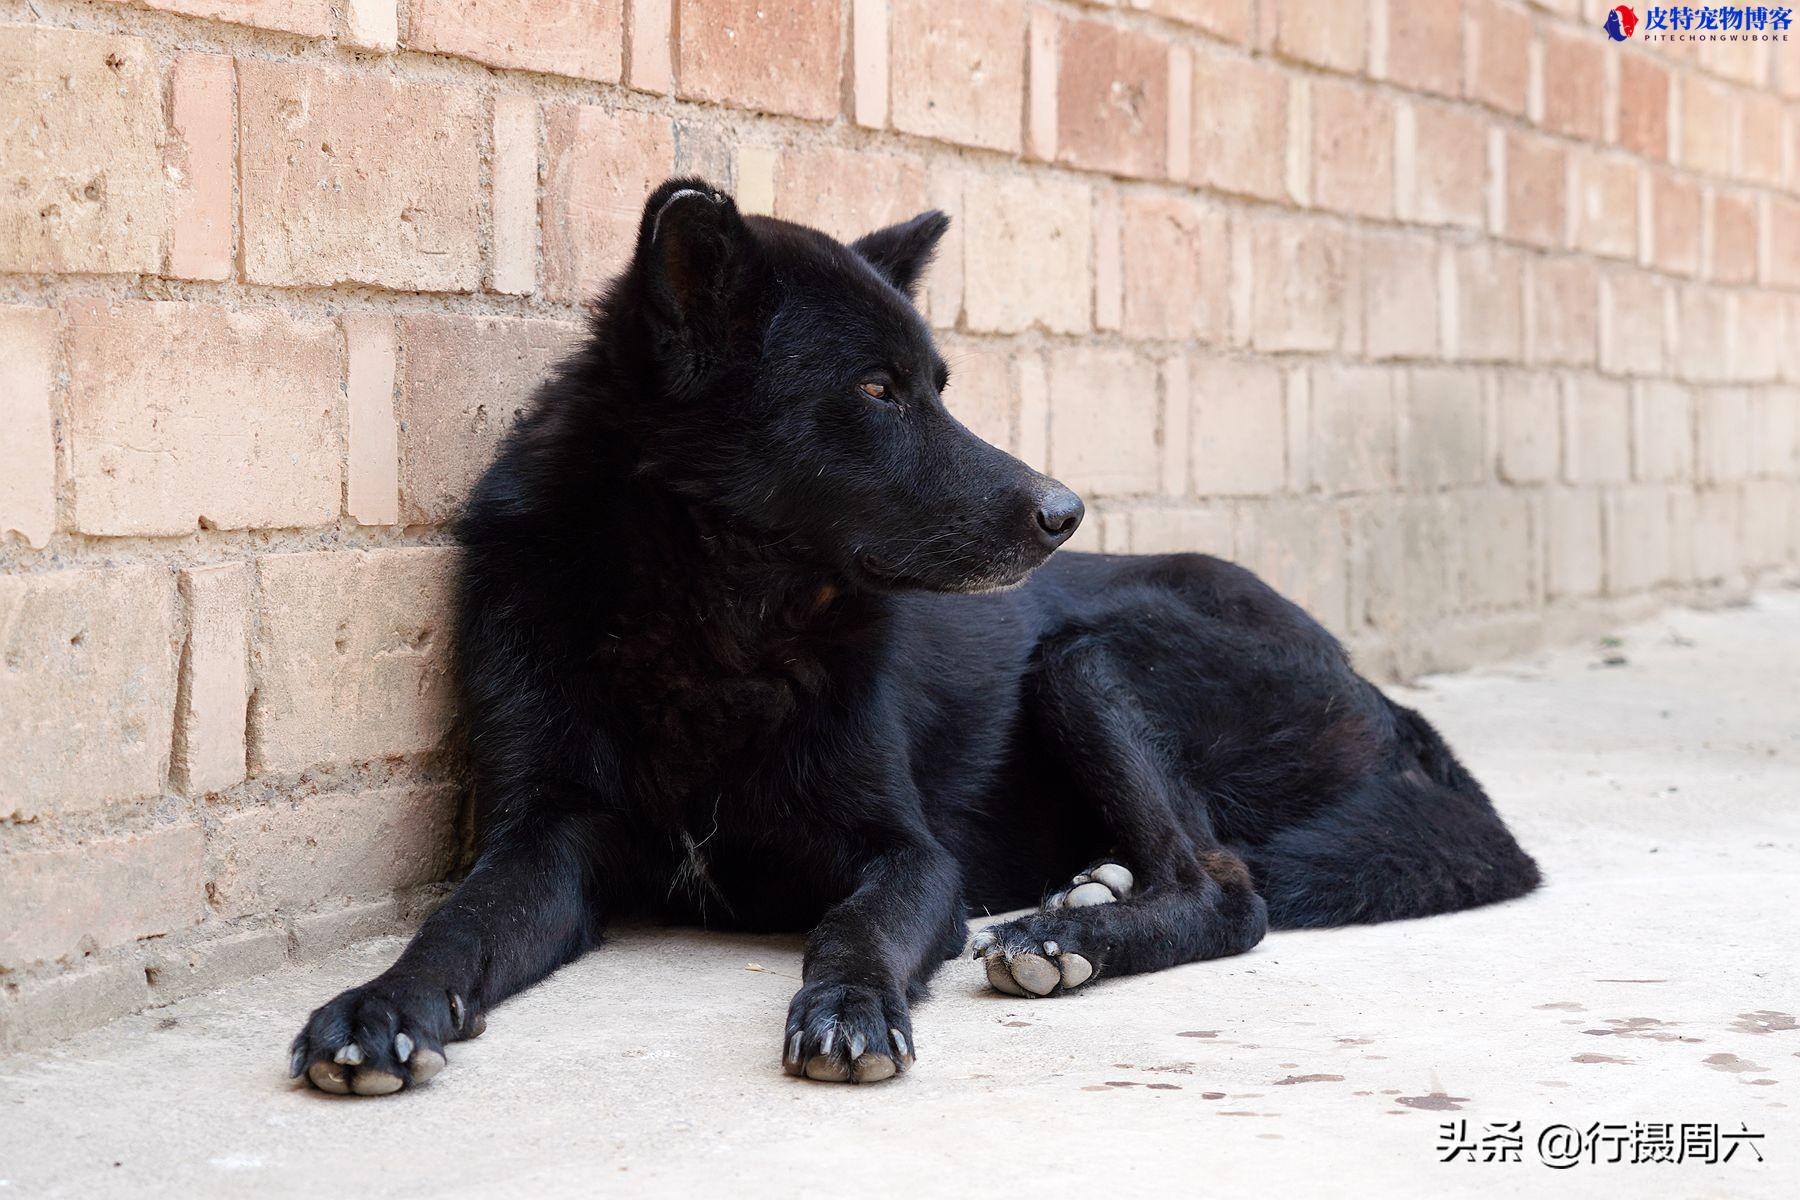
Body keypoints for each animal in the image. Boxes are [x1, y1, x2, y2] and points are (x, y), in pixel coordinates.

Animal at [288, 183, 1540, 1093]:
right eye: (879, 391)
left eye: (938, 384)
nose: (1065, 511)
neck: (715, 620)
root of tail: (1379, 695)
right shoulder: (542, 839)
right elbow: (457, 927)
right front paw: (384, 1006)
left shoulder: (913, 857)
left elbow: (853, 929)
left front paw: (849, 1007)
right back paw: (1090, 894)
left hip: (1092, 661)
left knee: (1231, 889)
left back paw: (1068, 938)